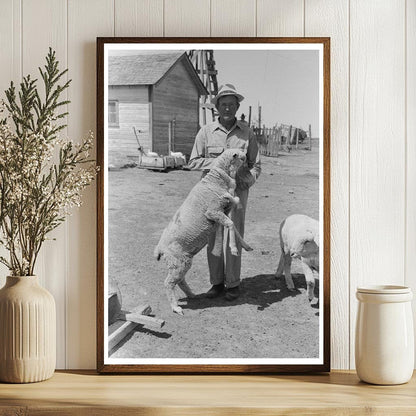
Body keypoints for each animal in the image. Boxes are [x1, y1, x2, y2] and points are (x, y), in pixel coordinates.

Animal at [155, 150, 252, 316]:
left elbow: (234, 224)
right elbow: (231, 223)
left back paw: (191, 295)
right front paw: (233, 249)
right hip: (177, 261)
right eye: (241, 156)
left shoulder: (223, 211)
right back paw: (176, 307)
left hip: (183, 261)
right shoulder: (213, 212)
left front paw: (244, 246)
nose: (249, 162)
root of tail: (159, 248)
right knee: (168, 282)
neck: (215, 180)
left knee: (180, 280)